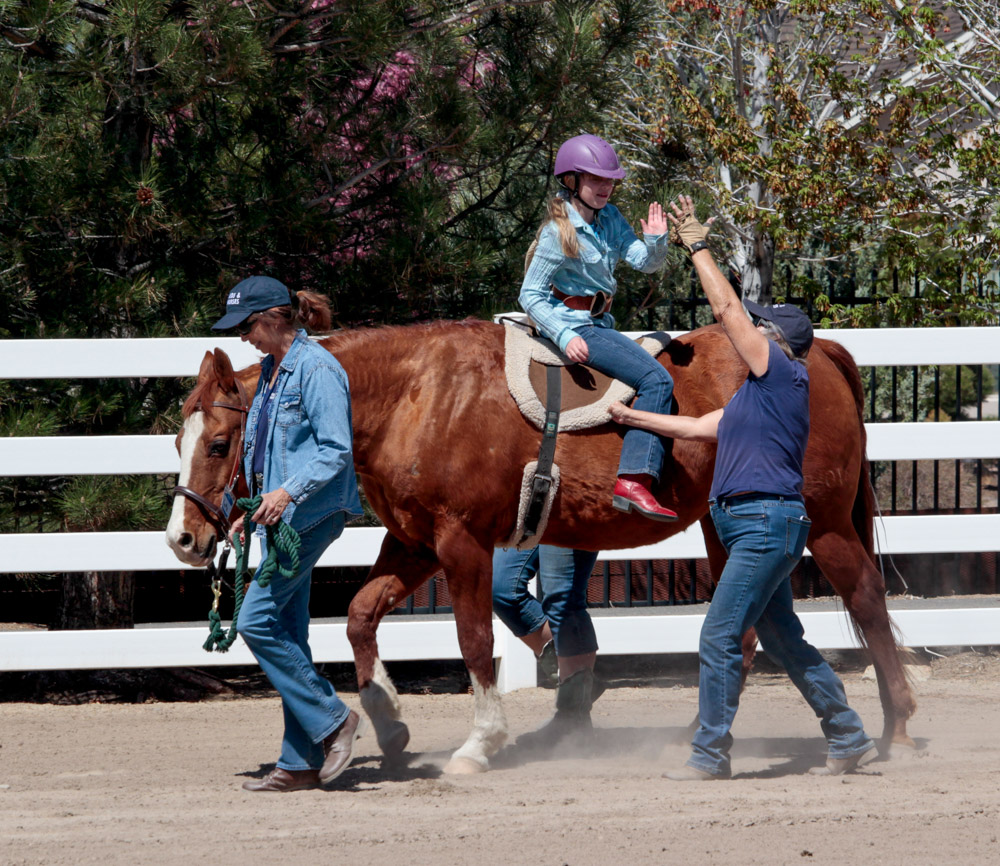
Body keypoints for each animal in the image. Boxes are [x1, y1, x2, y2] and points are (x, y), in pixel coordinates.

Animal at [168, 318, 916, 768]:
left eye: (218, 442)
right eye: (178, 440)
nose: (183, 536)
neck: (420, 394)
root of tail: (813, 352)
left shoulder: (461, 544)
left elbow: (474, 641)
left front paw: (480, 742)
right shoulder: (414, 545)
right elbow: (358, 616)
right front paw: (388, 721)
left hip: (824, 524)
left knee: (868, 602)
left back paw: (898, 729)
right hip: (723, 526)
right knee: (755, 627)